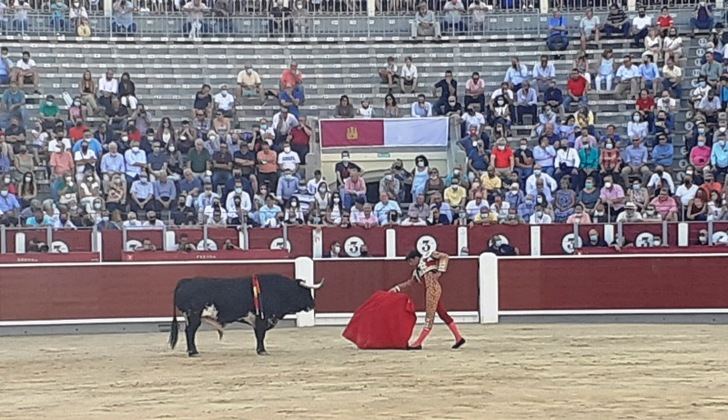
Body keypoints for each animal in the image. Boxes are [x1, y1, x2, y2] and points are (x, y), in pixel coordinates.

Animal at [169, 274, 322, 356]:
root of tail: (186, 281)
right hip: (194, 316)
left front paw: (260, 350)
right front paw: (262, 351)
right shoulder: (262, 318)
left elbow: (258, 335)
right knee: (190, 332)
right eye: (304, 292)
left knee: (189, 332)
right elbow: (261, 335)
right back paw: (193, 352)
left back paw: (191, 351)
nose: (313, 304)